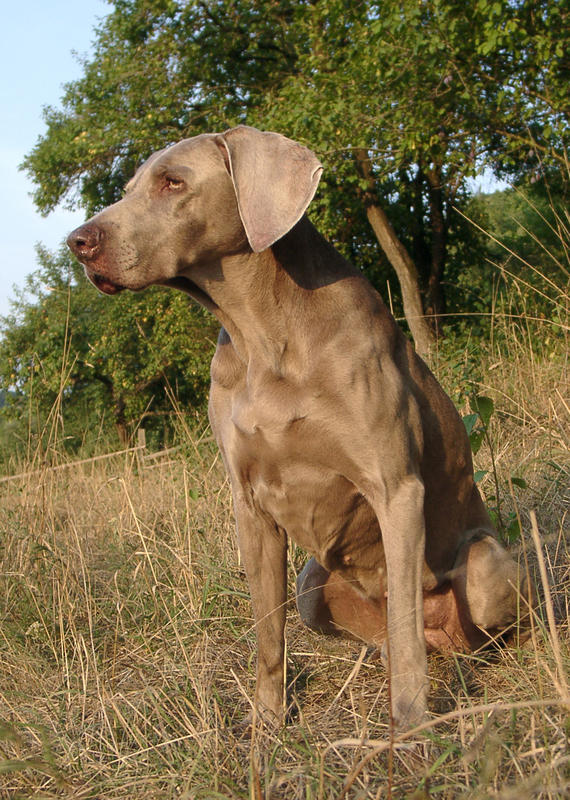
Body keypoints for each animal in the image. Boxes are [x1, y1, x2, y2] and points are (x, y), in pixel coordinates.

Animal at [66, 125, 532, 732]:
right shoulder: (250, 506)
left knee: (449, 629)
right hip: (314, 585)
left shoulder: (397, 490)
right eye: (127, 189)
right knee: (385, 634)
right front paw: (267, 725)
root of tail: (448, 641)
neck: (262, 333)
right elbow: (268, 634)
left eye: (173, 183)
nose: (77, 242)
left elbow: (406, 628)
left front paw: (409, 727)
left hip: (484, 565)